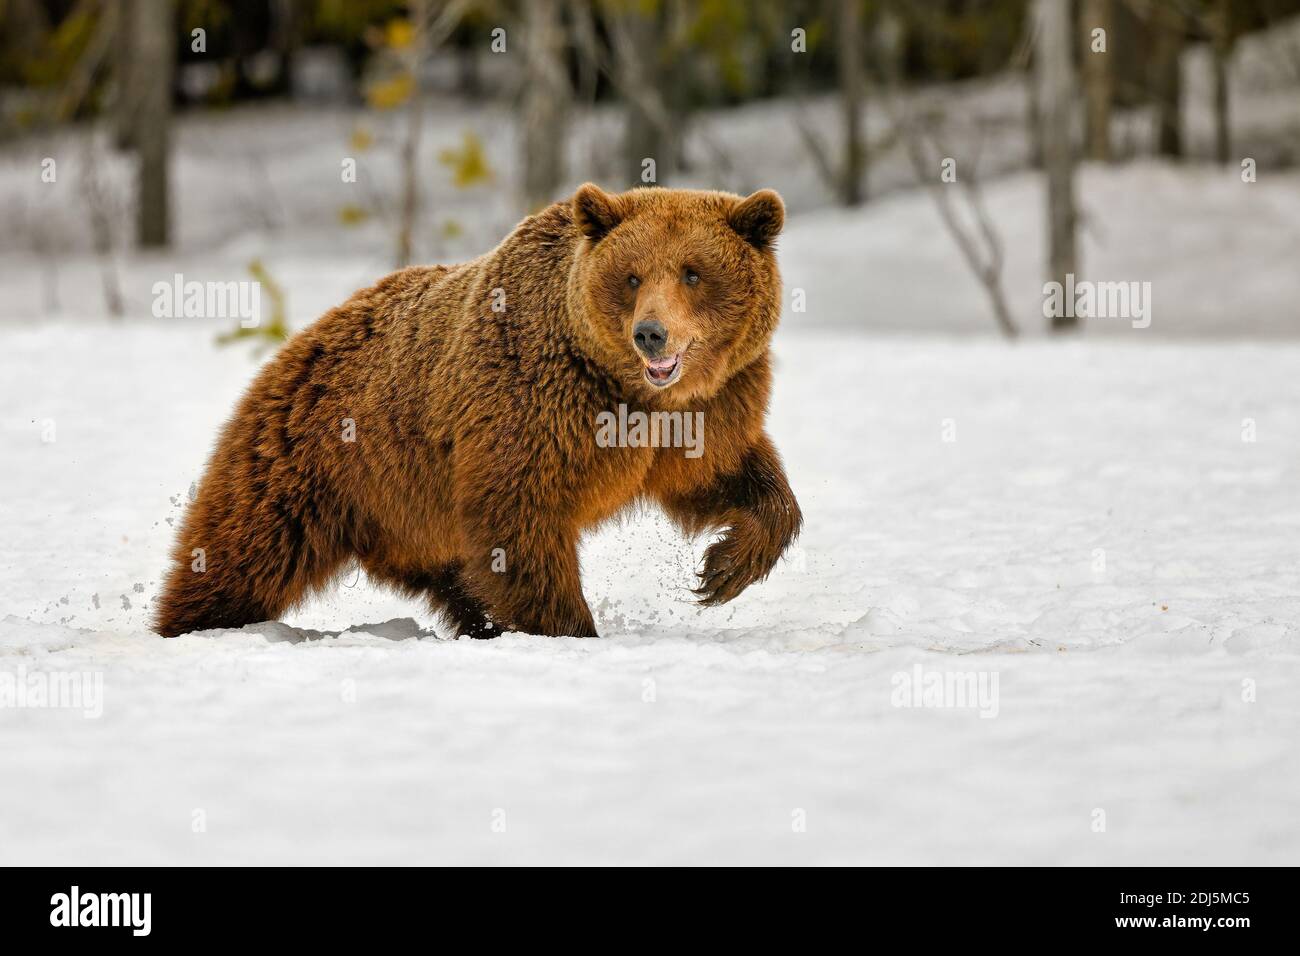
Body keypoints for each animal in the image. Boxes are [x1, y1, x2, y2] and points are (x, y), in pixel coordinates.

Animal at [156, 183, 795, 639]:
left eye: (692, 272)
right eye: (632, 276)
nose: (651, 334)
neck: (631, 390)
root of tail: (301, 339)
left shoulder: (708, 411)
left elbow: (726, 480)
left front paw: (722, 570)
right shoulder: (535, 409)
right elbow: (519, 521)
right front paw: (573, 629)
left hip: (411, 510)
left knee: (458, 575)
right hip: (309, 460)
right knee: (240, 554)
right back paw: (189, 624)